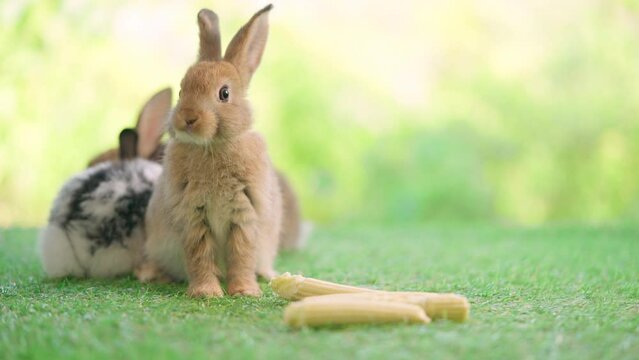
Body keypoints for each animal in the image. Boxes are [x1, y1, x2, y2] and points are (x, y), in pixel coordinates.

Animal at [140, 4, 292, 298]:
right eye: (181, 90)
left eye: (224, 93)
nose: (187, 118)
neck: (213, 146)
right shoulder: (193, 216)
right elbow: (200, 256)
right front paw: (206, 293)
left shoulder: (245, 215)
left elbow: (241, 255)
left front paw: (244, 291)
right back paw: (150, 275)